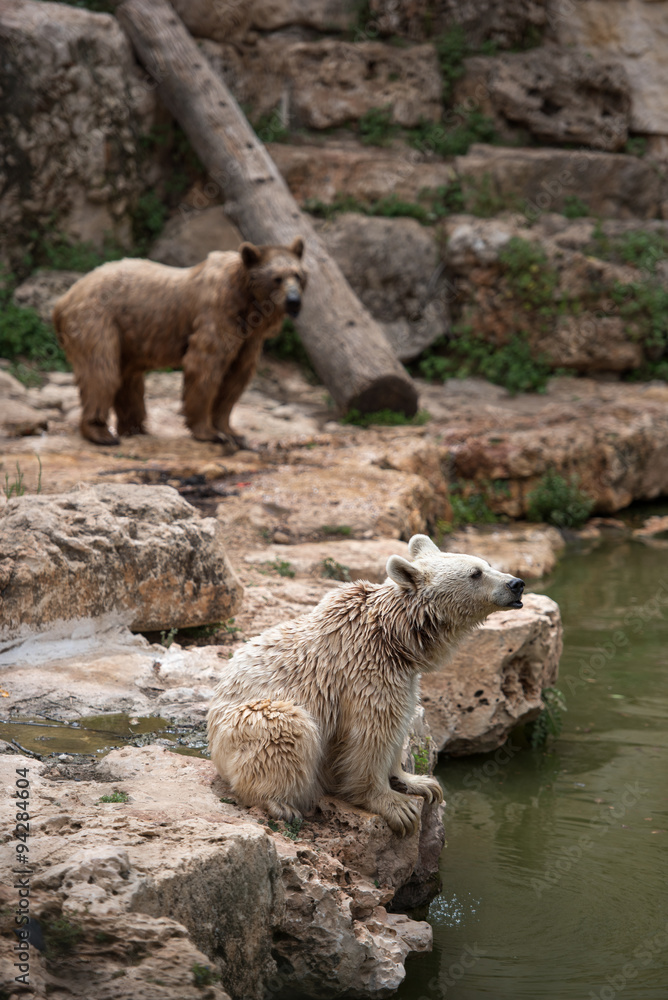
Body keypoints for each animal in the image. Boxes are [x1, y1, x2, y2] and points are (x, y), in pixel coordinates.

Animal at [52, 237, 308, 446]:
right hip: (98, 320)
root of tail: (63, 299)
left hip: (127, 335)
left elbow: (236, 377)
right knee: (102, 371)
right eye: (277, 278)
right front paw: (209, 433)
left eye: (298, 275)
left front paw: (232, 432)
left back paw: (136, 428)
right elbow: (205, 367)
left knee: (128, 379)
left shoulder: (249, 338)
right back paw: (102, 434)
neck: (247, 302)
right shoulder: (217, 315)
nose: (294, 301)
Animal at [206, 536, 524, 832]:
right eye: (475, 573)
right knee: (284, 726)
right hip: (247, 722)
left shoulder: (404, 676)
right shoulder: (364, 671)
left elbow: (400, 723)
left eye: (488, 564)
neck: (394, 634)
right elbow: (372, 731)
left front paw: (418, 782)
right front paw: (395, 807)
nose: (517, 584)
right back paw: (279, 803)